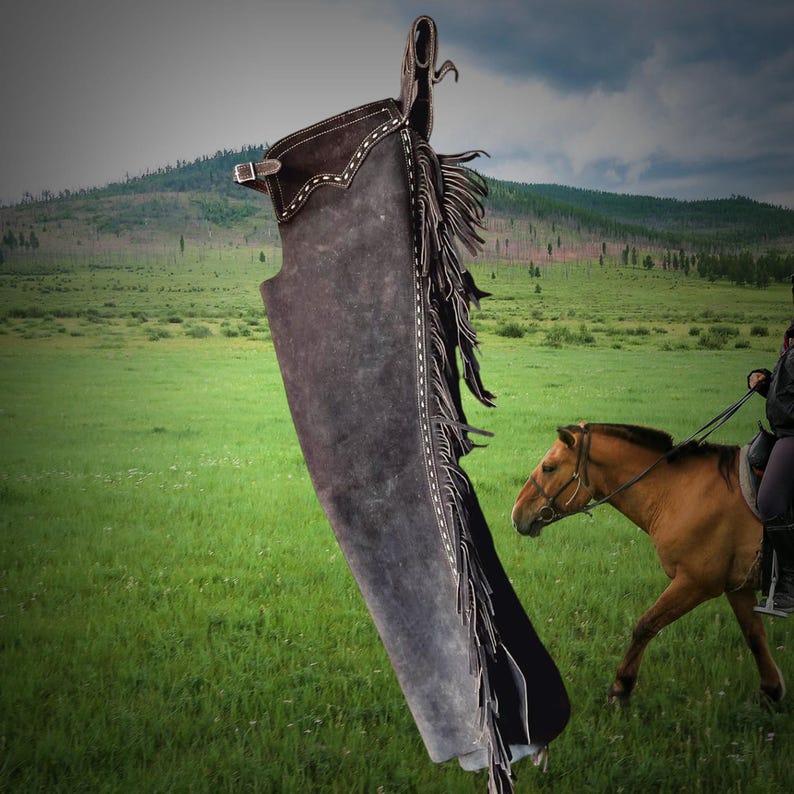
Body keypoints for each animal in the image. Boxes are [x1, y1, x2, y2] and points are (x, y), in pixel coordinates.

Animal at [510, 422, 785, 704]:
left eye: (549, 467)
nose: (516, 513)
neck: (678, 491)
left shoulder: (696, 582)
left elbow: (646, 625)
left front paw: (621, 686)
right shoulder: (737, 585)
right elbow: (754, 635)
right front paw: (771, 690)